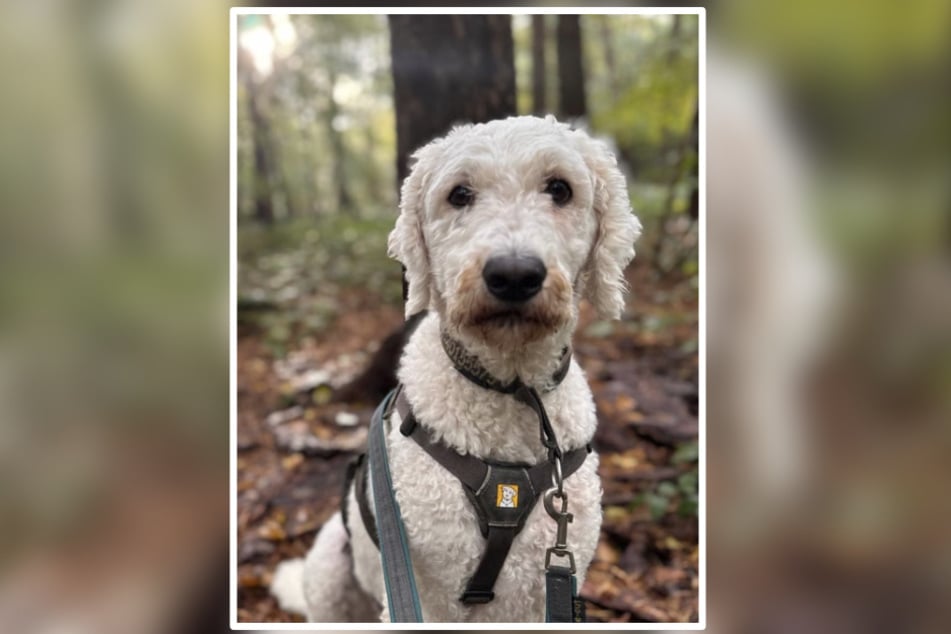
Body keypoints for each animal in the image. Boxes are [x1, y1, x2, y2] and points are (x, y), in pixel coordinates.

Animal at [270, 116, 640, 620]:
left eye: (560, 189)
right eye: (459, 194)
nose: (514, 274)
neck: (510, 389)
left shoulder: (546, 583)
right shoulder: (428, 593)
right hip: (329, 571)